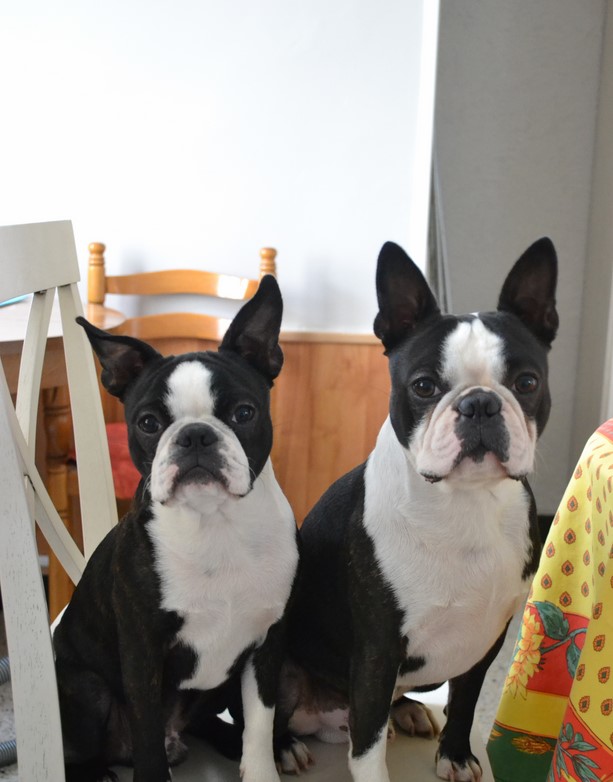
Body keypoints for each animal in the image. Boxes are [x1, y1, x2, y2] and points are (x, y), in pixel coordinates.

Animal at [53, 275, 299, 782]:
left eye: (244, 414)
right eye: (148, 423)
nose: (196, 435)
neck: (214, 524)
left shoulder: (267, 645)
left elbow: (258, 724)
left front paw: (262, 764)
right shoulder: (143, 648)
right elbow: (147, 728)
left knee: (212, 723)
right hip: (87, 688)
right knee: (87, 750)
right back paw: (99, 771)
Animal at [276, 239, 558, 782]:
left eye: (527, 382)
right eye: (424, 386)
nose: (479, 404)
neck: (465, 505)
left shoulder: (485, 639)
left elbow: (465, 701)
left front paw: (457, 755)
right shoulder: (377, 649)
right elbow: (367, 744)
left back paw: (407, 711)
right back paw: (283, 747)